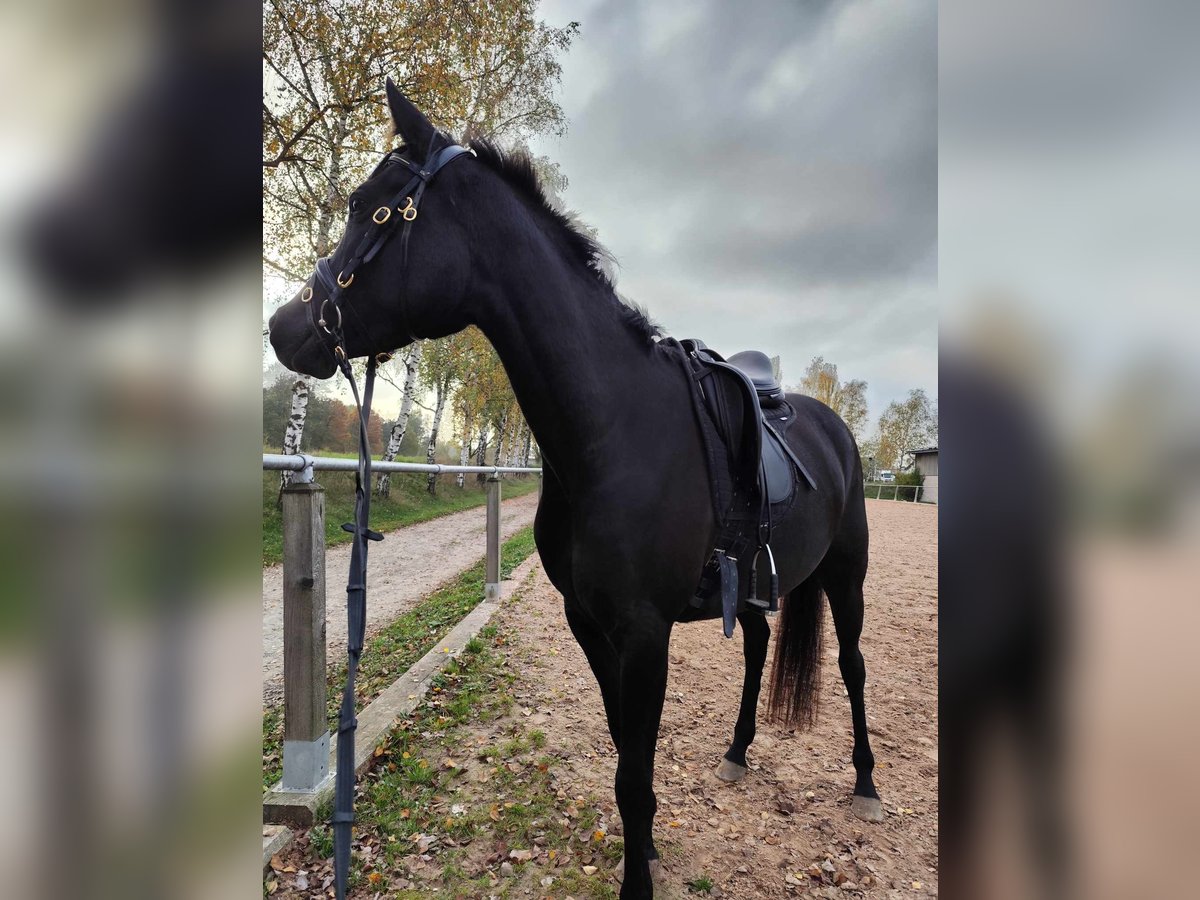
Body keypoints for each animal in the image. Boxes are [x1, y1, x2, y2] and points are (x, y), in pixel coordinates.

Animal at [267, 81, 878, 897]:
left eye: (375, 210)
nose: (284, 327)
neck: (610, 429)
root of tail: (834, 428)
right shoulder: (589, 625)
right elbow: (625, 758)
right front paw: (644, 849)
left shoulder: (645, 634)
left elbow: (635, 774)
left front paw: (639, 876)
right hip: (754, 585)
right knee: (756, 649)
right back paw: (737, 752)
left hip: (846, 575)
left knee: (852, 668)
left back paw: (867, 784)